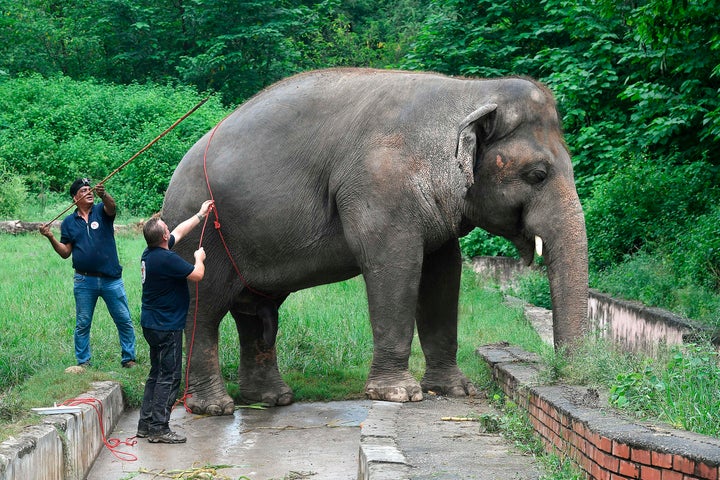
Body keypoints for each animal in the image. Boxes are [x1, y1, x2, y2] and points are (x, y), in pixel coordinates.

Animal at [165, 67, 592, 416]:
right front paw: (399, 395)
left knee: (255, 314)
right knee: (205, 311)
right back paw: (214, 407)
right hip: (203, 236)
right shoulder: (380, 186)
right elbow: (396, 266)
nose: (571, 380)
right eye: (537, 175)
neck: (469, 92)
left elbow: (443, 275)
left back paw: (272, 399)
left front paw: (455, 390)